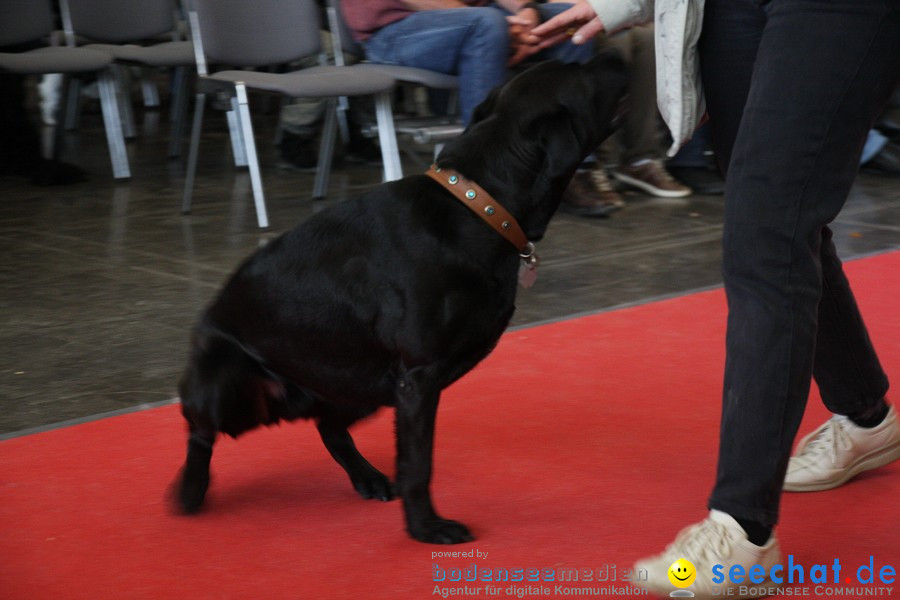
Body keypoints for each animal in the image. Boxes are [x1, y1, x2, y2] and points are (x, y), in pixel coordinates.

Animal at [176, 55, 624, 544]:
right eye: (583, 72)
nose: (616, 57)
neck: (479, 206)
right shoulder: (418, 379)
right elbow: (417, 463)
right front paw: (426, 528)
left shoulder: (406, 383)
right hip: (225, 381)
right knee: (201, 433)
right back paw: (190, 491)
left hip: (359, 388)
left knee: (328, 426)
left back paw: (366, 477)